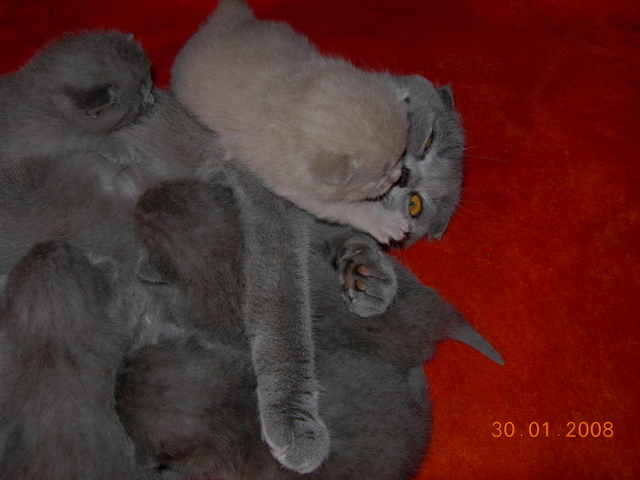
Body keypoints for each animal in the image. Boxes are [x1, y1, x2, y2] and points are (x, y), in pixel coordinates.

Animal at [0, 31, 155, 165]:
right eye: (137, 105)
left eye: (150, 86)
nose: (149, 102)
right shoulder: (40, 138)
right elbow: (84, 136)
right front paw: (117, 147)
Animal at [172, 0, 411, 244]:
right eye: (379, 177)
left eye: (401, 155)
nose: (397, 176)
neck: (300, 96)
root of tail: (226, 17)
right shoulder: (297, 186)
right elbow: (347, 208)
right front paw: (384, 222)